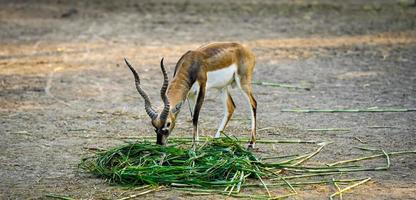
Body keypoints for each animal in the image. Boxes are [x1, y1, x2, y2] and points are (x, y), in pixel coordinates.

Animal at [125, 42, 256, 148]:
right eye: (154, 125)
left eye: (168, 123)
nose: (160, 143)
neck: (191, 63)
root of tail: (246, 49)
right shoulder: (190, 95)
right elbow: (193, 116)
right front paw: (196, 144)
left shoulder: (202, 90)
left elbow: (195, 117)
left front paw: (193, 148)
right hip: (222, 88)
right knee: (230, 107)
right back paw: (215, 141)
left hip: (242, 83)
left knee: (253, 103)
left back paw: (251, 143)